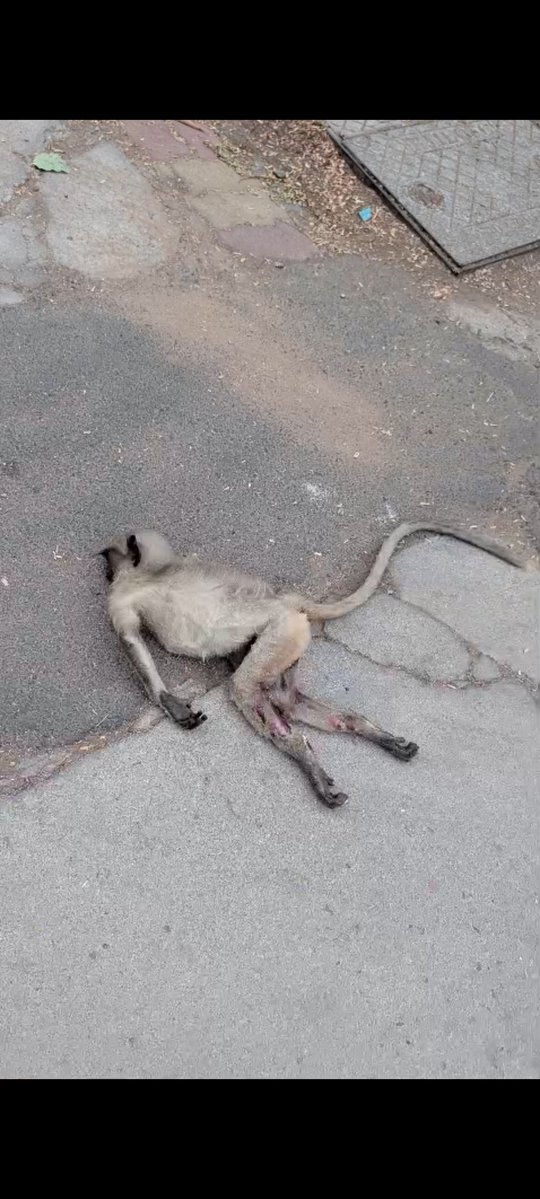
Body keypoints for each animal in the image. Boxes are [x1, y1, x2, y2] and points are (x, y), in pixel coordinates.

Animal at [99, 523, 525, 808]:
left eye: (109, 563)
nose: (105, 571)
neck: (153, 569)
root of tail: (285, 601)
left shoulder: (121, 595)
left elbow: (132, 641)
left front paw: (170, 704)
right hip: (284, 645)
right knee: (287, 699)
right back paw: (367, 733)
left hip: (282, 632)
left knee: (246, 690)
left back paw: (308, 762)